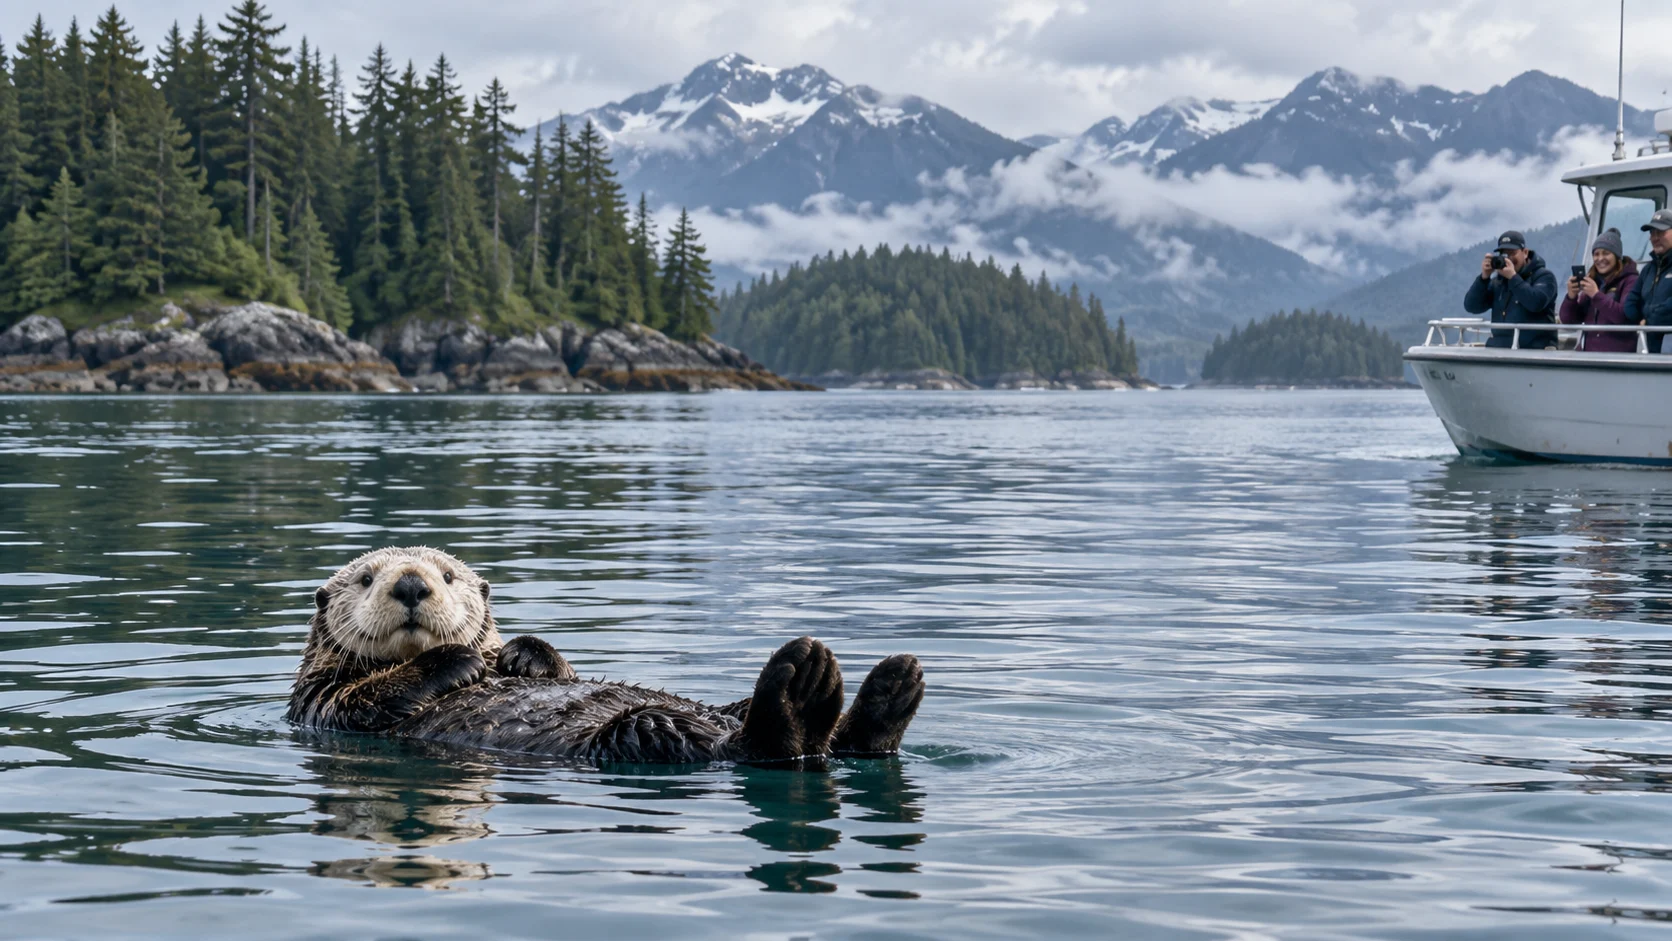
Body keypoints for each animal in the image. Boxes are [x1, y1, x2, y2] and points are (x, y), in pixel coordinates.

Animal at [287, 547, 925, 763]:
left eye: (447, 575)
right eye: (367, 578)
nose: (412, 585)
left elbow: (551, 660)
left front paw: (519, 657)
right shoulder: (319, 702)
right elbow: (367, 698)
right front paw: (456, 663)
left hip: (713, 710)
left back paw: (888, 689)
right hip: (644, 730)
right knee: (762, 749)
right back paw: (807, 687)